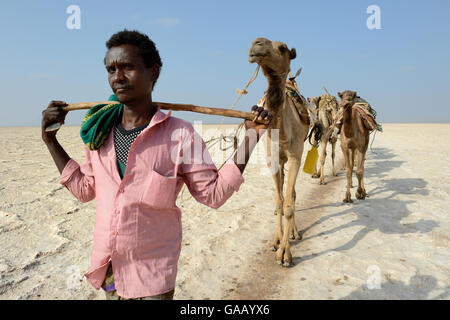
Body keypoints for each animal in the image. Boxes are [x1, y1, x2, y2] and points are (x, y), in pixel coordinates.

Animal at [248, 37, 312, 268]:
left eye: (283, 48)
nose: (257, 44)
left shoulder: (295, 157)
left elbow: (289, 205)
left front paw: (285, 254)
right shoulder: (273, 160)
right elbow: (278, 202)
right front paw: (276, 241)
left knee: (291, 195)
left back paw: (293, 232)